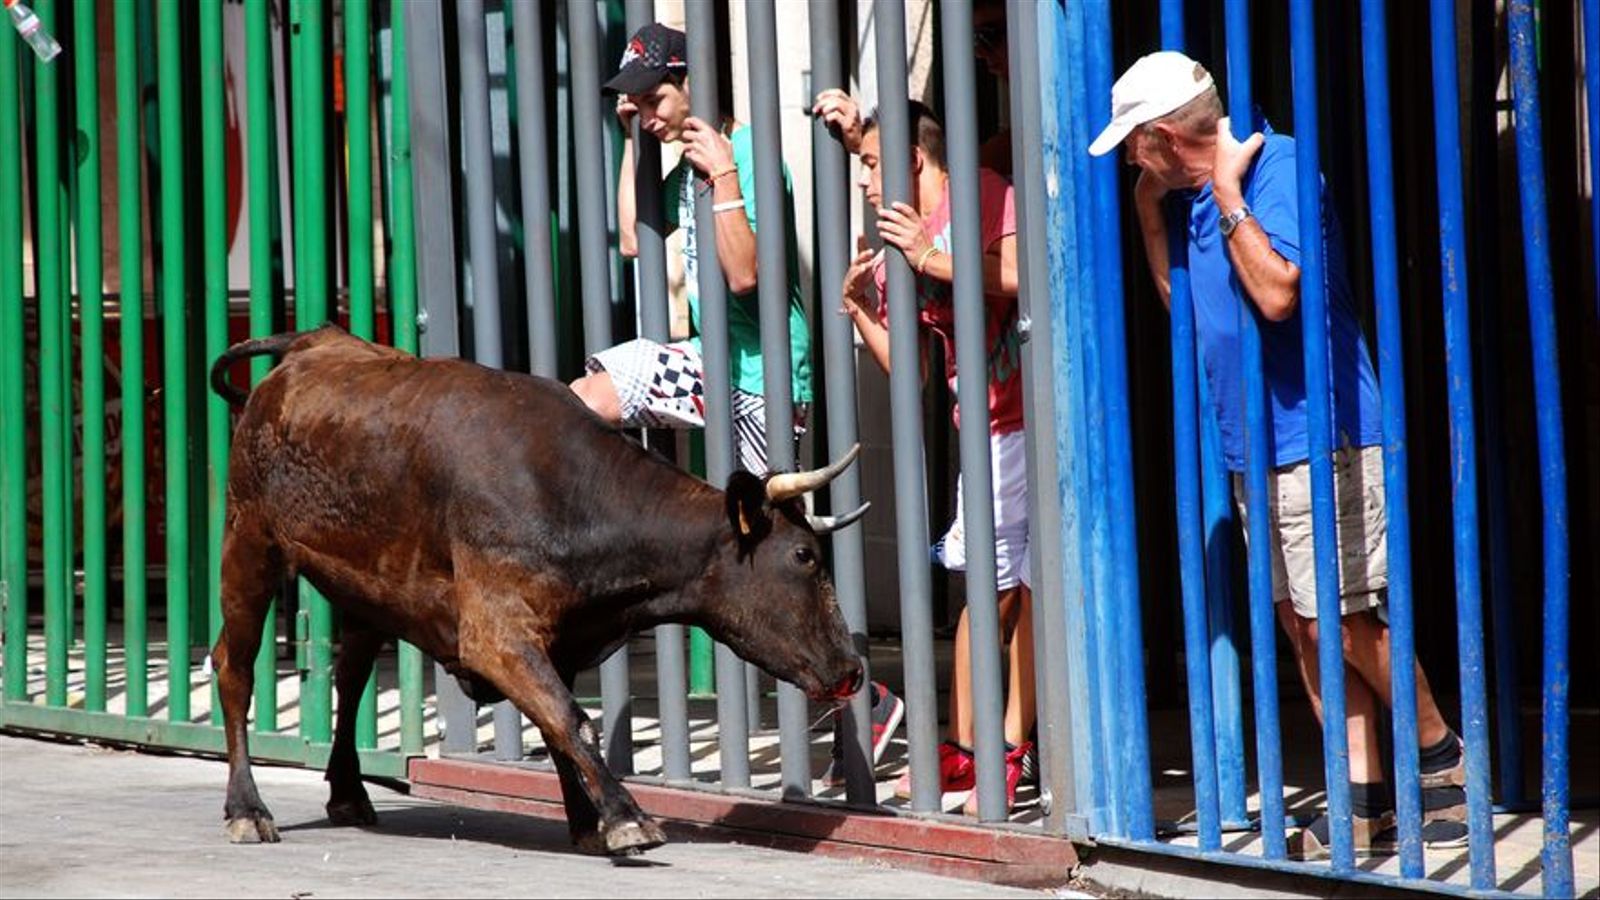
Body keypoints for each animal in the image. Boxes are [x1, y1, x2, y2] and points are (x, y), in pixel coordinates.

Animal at [211, 328, 870, 851]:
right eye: (805, 556)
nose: (852, 669)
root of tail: (312, 342)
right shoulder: (496, 633)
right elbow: (569, 718)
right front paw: (625, 818)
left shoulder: (561, 639)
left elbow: (557, 723)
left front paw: (587, 820)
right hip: (249, 540)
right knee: (234, 667)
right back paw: (247, 809)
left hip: (365, 587)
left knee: (348, 678)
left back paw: (347, 792)